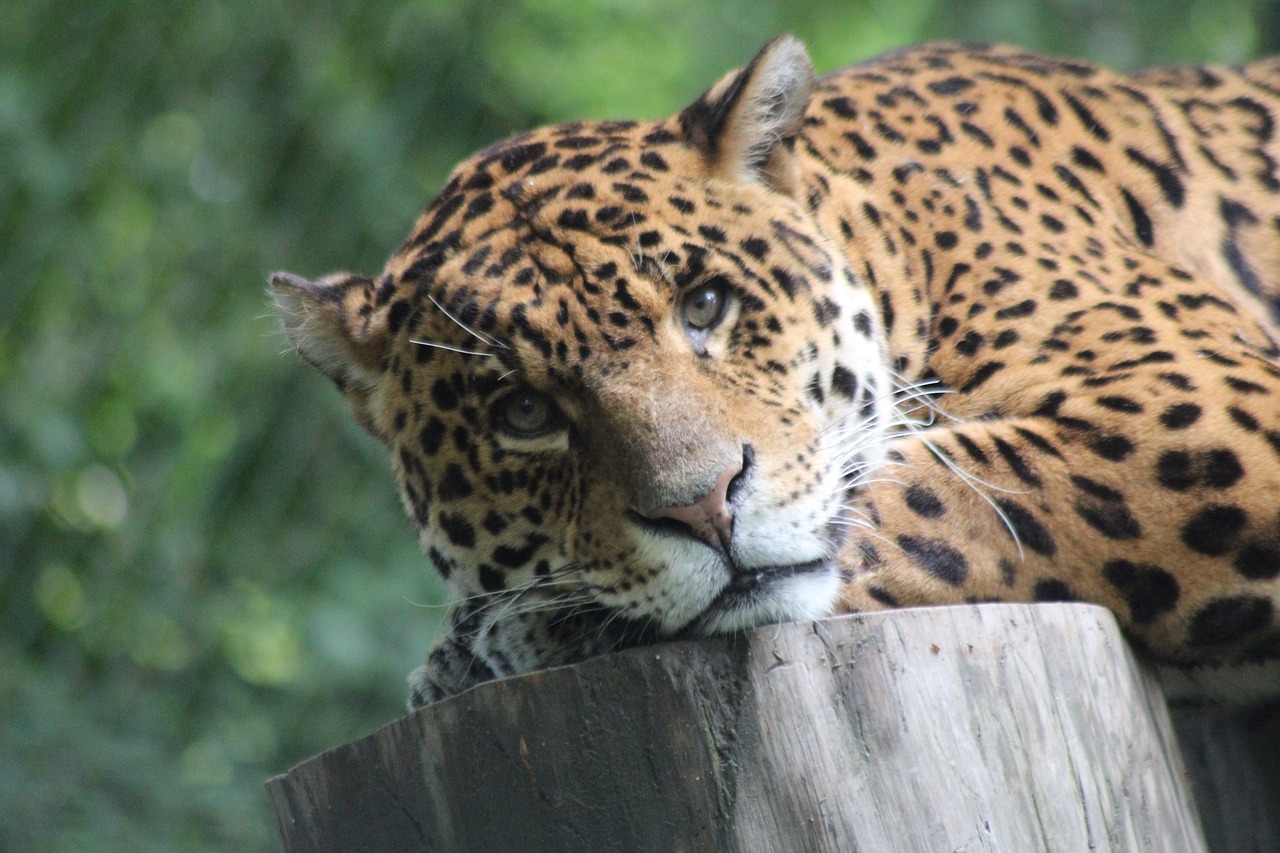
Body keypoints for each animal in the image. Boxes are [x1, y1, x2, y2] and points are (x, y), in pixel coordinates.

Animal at [272, 34, 1280, 701]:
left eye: (706, 305)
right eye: (523, 411)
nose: (703, 509)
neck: (904, 242)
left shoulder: (1204, 405)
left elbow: (946, 485)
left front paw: (512, 634)